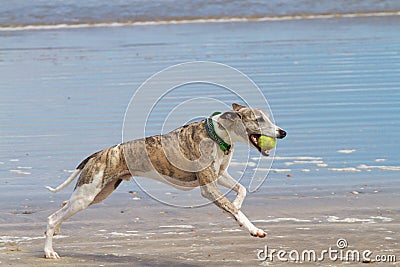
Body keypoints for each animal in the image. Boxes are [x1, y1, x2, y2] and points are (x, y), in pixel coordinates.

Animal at [43, 103, 284, 260]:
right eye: (259, 119)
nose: (283, 132)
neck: (217, 134)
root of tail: (96, 155)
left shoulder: (218, 176)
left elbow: (241, 191)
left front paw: (238, 206)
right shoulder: (208, 187)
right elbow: (235, 210)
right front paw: (253, 229)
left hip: (97, 193)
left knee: (63, 207)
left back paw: (55, 234)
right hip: (87, 195)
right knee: (52, 218)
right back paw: (49, 251)